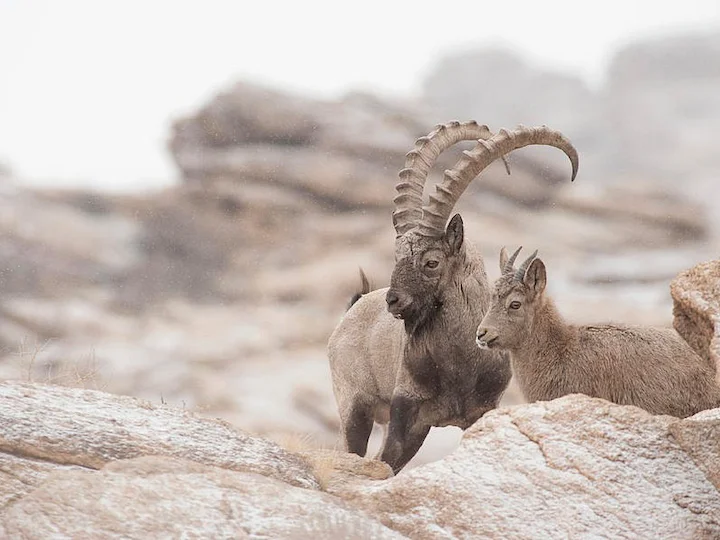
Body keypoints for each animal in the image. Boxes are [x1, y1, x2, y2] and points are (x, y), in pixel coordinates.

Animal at [328, 122, 579, 473]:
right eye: (397, 256)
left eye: (432, 261)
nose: (393, 301)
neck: (458, 362)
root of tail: (351, 311)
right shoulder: (406, 408)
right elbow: (388, 461)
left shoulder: (481, 410)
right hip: (354, 406)